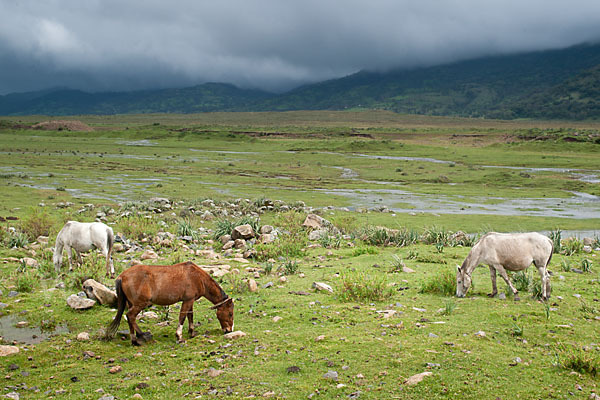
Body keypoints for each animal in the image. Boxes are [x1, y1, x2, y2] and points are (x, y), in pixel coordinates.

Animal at [103, 260, 234, 346]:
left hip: (131, 303)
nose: (229, 330)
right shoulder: (187, 300)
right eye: (230, 314)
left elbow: (190, 315)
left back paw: (134, 340)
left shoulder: (190, 301)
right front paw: (179, 336)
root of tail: (122, 276)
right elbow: (183, 317)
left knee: (131, 319)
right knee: (130, 316)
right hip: (140, 304)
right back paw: (143, 335)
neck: (197, 277)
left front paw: (191, 332)